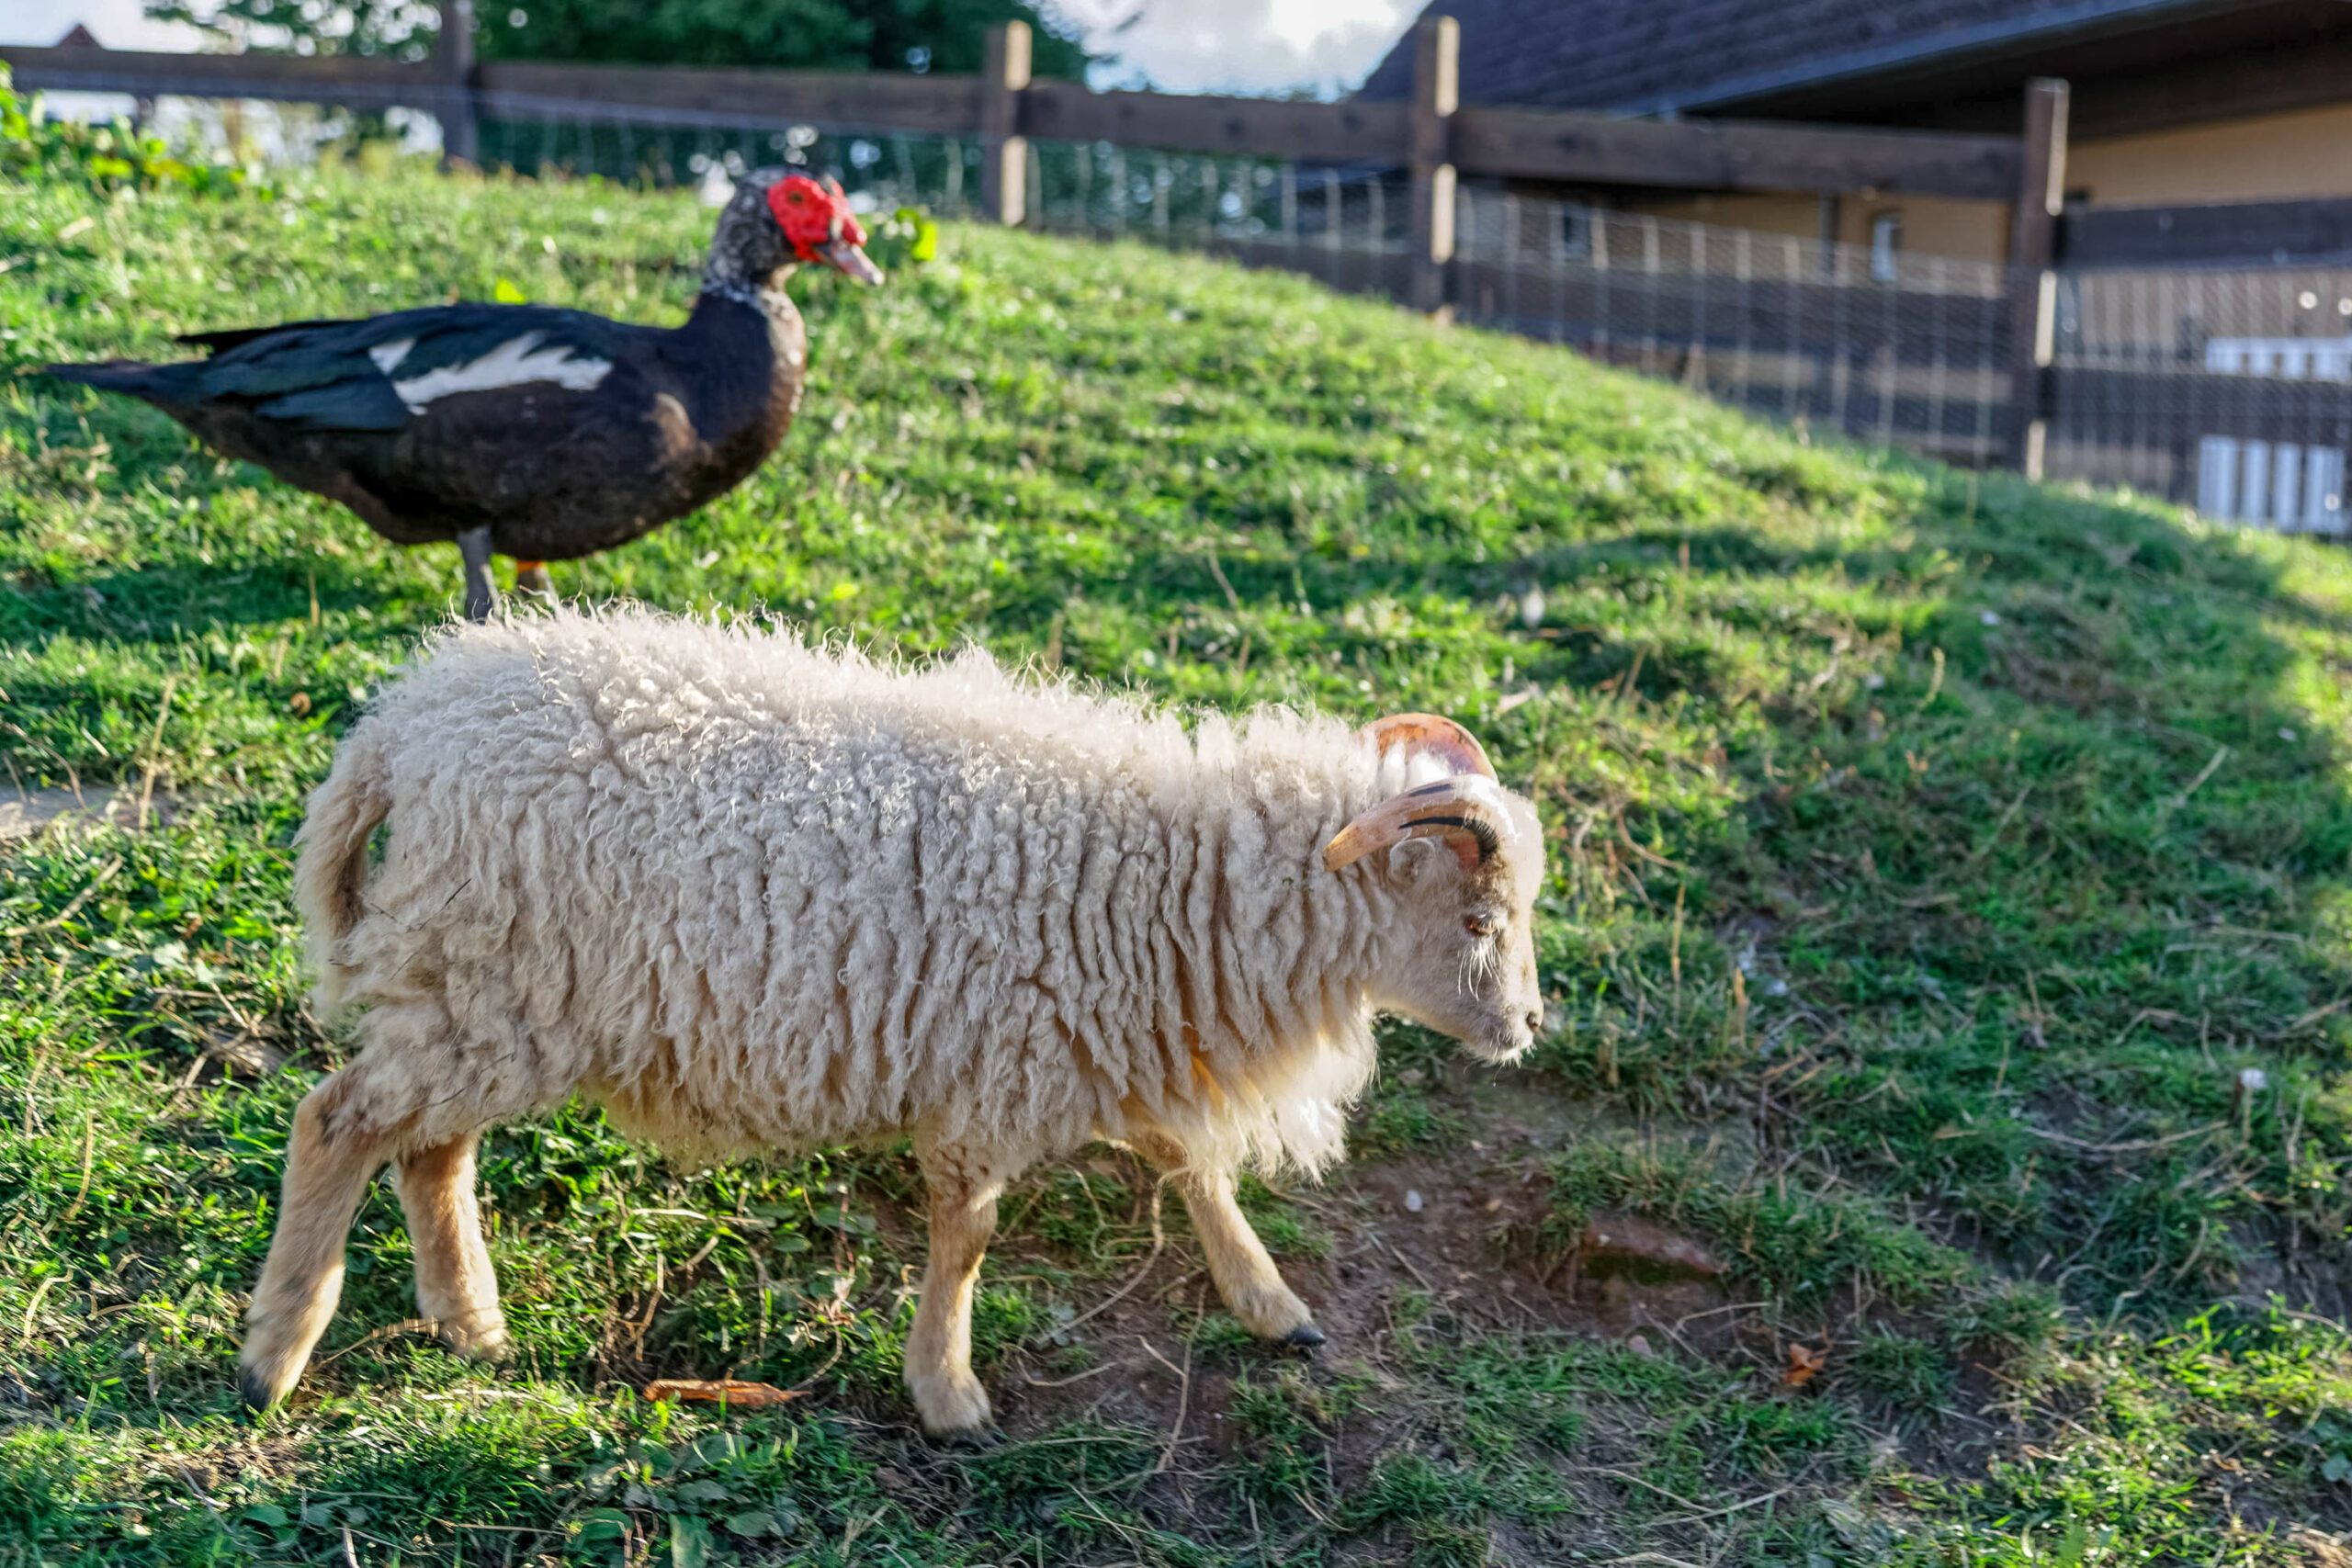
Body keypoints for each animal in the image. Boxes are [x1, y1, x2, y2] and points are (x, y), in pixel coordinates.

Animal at [240, 606, 1548, 1439]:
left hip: (486, 991)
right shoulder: (998, 1070)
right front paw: (947, 1395)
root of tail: (406, 724)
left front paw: (1273, 1309)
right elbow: (967, 1240)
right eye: (1479, 916)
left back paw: (471, 1325)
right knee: (336, 1123)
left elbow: (1192, 1168)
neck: (1172, 885)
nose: (1528, 1027)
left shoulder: (1098, 1045)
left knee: (428, 1149)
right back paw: (274, 1356)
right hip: (493, 983)